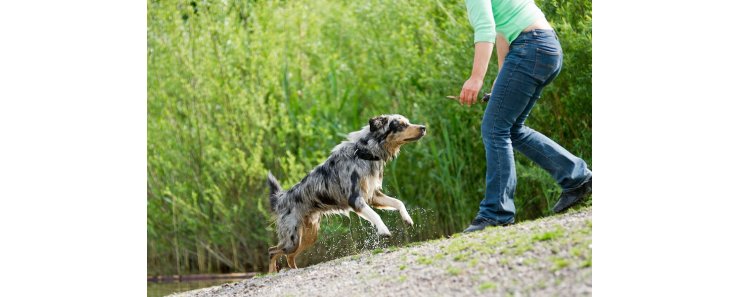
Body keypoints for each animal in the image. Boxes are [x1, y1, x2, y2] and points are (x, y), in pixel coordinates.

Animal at [268, 114, 428, 272]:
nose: (424, 127)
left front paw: (407, 219)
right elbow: (375, 215)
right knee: (272, 251)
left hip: (308, 236)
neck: (365, 154)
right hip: (292, 239)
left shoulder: (373, 196)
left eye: (408, 122)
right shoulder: (355, 199)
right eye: (401, 125)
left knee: (289, 257)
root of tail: (281, 199)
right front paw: (383, 230)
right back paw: (272, 273)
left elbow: (398, 202)